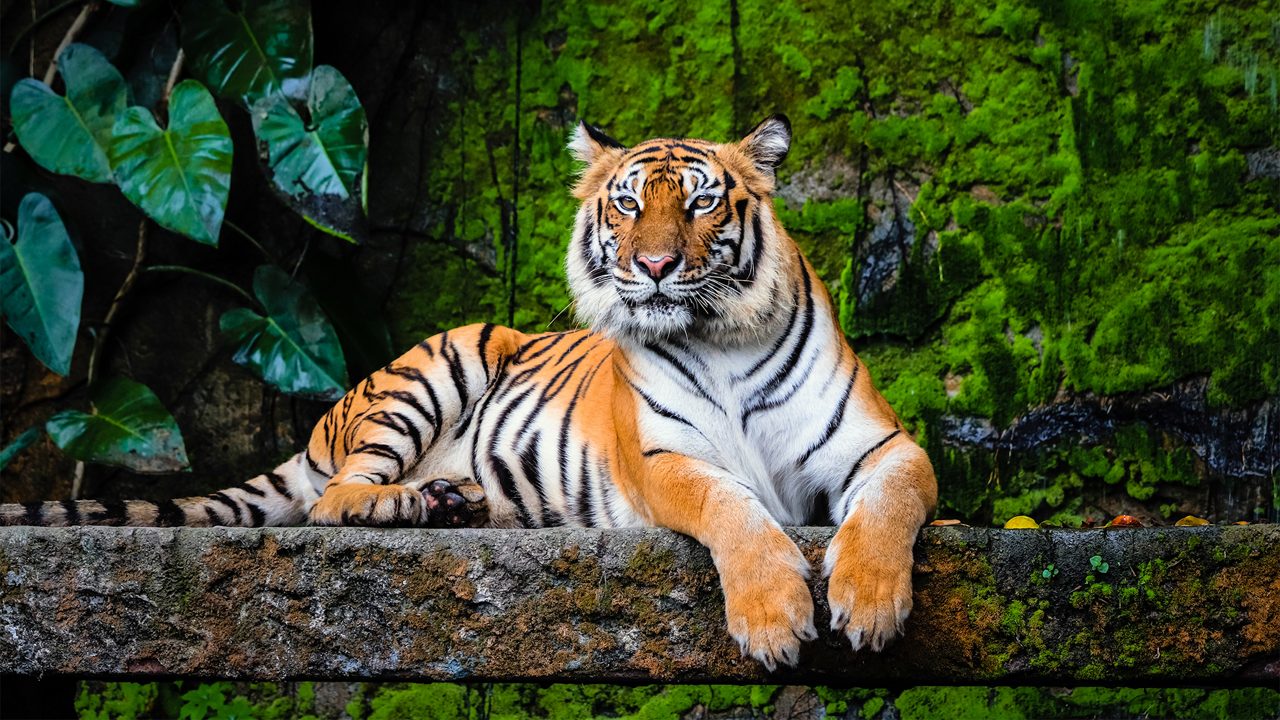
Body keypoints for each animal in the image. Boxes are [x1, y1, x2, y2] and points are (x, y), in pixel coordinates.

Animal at [2, 114, 942, 671]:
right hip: (438, 365)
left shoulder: (884, 446)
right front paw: (776, 619)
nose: (655, 266)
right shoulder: (664, 459)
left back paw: (458, 501)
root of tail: (323, 423)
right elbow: (734, 511)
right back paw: (408, 504)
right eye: (628, 204)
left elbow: (888, 505)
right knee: (334, 499)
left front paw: (869, 605)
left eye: (704, 203)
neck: (719, 336)